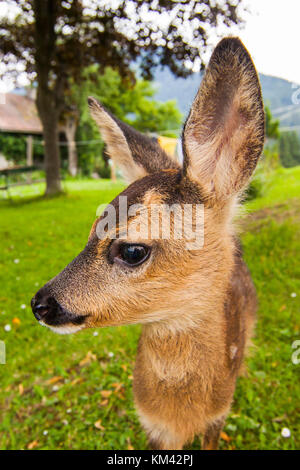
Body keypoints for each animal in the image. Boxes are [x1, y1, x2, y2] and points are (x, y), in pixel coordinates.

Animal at [31, 38, 264, 450]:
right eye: (91, 228)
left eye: (133, 250)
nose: (40, 304)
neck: (180, 415)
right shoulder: (153, 428)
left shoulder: (218, 417)